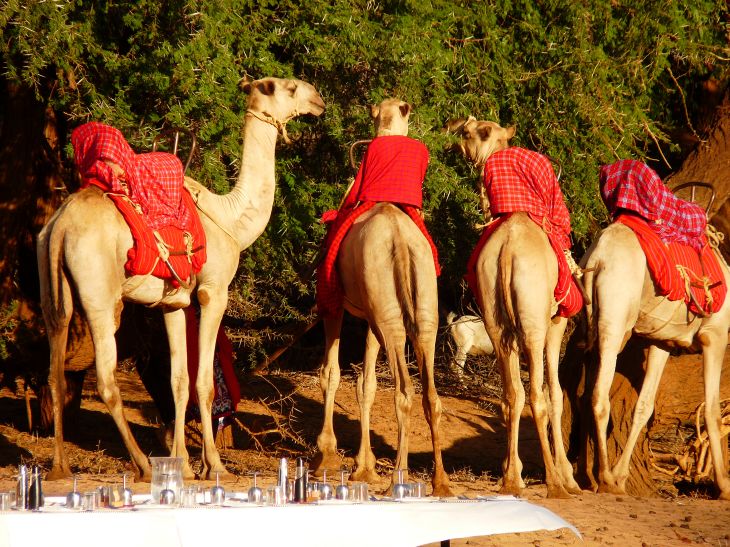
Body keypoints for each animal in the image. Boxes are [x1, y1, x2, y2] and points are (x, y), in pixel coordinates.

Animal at [37, 77, 324, 481]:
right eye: (289, 87)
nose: (318, 99)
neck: (231, 221)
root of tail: (61, 225)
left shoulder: (173, 304)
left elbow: (178, 382)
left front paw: (184, 466)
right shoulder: (212, 293)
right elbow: (204, 382)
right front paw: (214, 466)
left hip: (52, 286)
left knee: (55, 370)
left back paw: (59, 468)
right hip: (99, 293)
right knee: (107, 379)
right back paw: (142, 465)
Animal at [314, 99, 452, 496]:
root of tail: (401, 242)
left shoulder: (335, 305)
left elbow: (331, 372)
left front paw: (326, 455)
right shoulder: (371, 313)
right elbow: (367, 384)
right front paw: (364, 467)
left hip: (384, 309)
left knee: (404, 389)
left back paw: (399, 480)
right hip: (418, 307)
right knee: (430, 394)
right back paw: (440, 481)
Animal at [448, 117, 580, 498]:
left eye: (472, 132)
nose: (456, 132)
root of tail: (507, 250)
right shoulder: (556, 326)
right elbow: (556, 395)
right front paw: (569, 476)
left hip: (496, 322)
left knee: (512, 394)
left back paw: (512, 477)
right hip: (534, 321)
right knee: (535, 394)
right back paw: (554, 482)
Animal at [582, 200, 730, 499]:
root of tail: (597, 258)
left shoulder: (661, 342)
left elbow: (644, 406)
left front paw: (622, 476)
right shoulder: (715, 336)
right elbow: (712, 411)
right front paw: (724, 485)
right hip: (614, 322)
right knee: (599, 396)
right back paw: (604, 478)